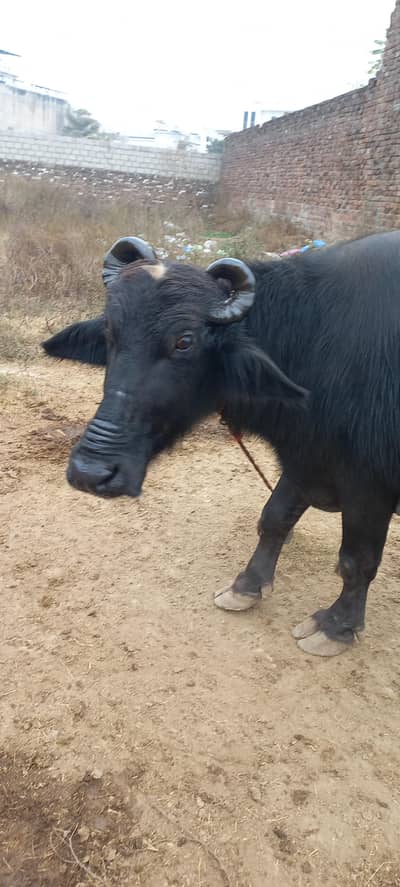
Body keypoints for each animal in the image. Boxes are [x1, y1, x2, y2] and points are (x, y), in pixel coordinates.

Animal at [43, 231, 400, 657]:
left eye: (184, 341)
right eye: (112, 334)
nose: (90, 472)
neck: (314, 339)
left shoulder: (368, 485)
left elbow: (357, 560)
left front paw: (336, 627)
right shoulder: (305, 457)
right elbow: (274, 518)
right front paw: (246, 586)